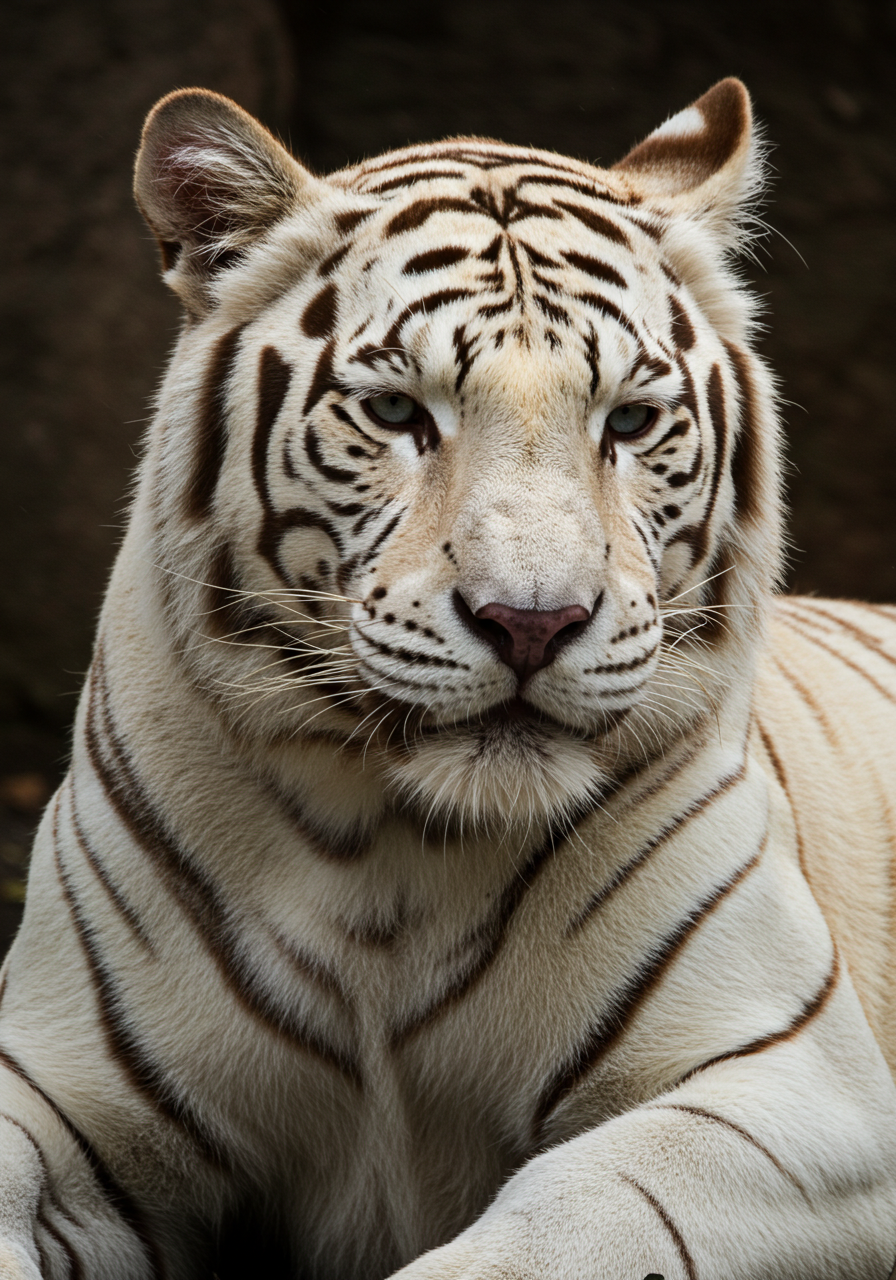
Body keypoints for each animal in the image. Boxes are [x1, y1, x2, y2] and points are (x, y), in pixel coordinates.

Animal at [0, 73, 895, 1280]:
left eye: (629, 420)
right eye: (394, 412)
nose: (532, 622)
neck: (396, 859)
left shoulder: (796, 1087)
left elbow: (577, 1211)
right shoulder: (58, 1075)